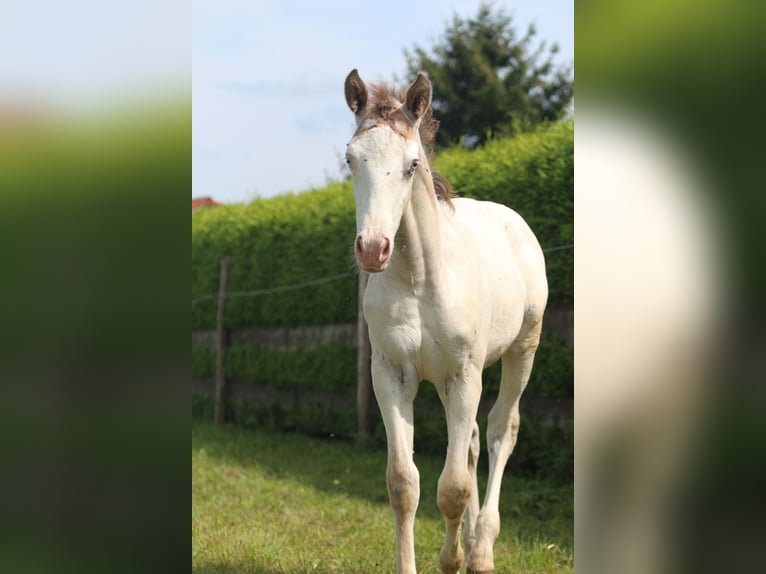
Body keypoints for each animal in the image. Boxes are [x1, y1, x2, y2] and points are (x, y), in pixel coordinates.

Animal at [344, 70, 548, 572]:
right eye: (351, 159)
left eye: (412, 163)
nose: (373, 248)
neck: (420, 278)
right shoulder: (392, 374)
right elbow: (404, 483)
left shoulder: (463, 373)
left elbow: (453, 488)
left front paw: (454, 559)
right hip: (442, 379)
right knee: (472, 439)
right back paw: (474, 541)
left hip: (522, 350)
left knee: (499, 430)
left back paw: (483, 550)